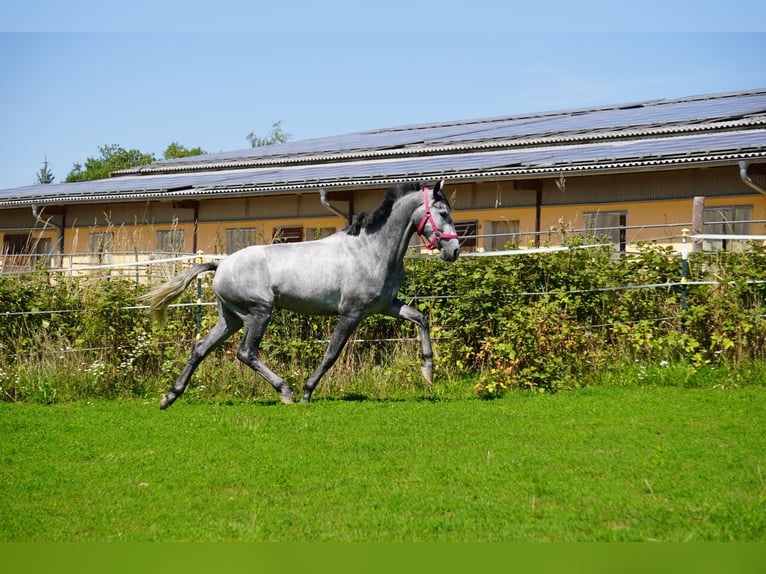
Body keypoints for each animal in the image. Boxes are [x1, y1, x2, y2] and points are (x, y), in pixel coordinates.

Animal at [142, 180, 460, 409]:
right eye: (443, 213)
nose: (454, 250)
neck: (372, 250)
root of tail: (221, 265)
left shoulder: (386, 305)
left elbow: (420, 318)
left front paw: (428, 371)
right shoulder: (352, 312)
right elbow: (332, 352)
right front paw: (308, 392)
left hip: (230, 318)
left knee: (200, 348)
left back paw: (169, 397)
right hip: (258, 313)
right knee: (246, 353)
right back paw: (286, 392)